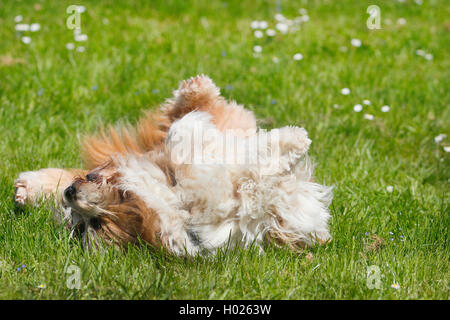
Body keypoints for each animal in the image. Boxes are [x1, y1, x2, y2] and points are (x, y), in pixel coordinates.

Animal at [14, 75, 332, 255]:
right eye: (90, 226)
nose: (70, 194)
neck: (175, 201)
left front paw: (295, 140)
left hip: (225, 123)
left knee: (200, 110)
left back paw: (196, 89)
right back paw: (26, 190)